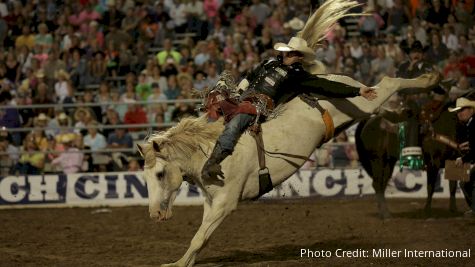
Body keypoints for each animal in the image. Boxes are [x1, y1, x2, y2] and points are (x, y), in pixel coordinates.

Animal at [137, 71, 438, 267]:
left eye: (160, 174)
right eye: (145, 177)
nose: (154, 214)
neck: (210, 152)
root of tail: (333, 75)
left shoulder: (226, 202)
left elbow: (200, 236)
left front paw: (177, 264)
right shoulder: (212, 202)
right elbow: (201, 237)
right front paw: (181, 261)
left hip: (363, 101)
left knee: (389, 82)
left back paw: (430, 79)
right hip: (360, 112)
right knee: (385, 107)